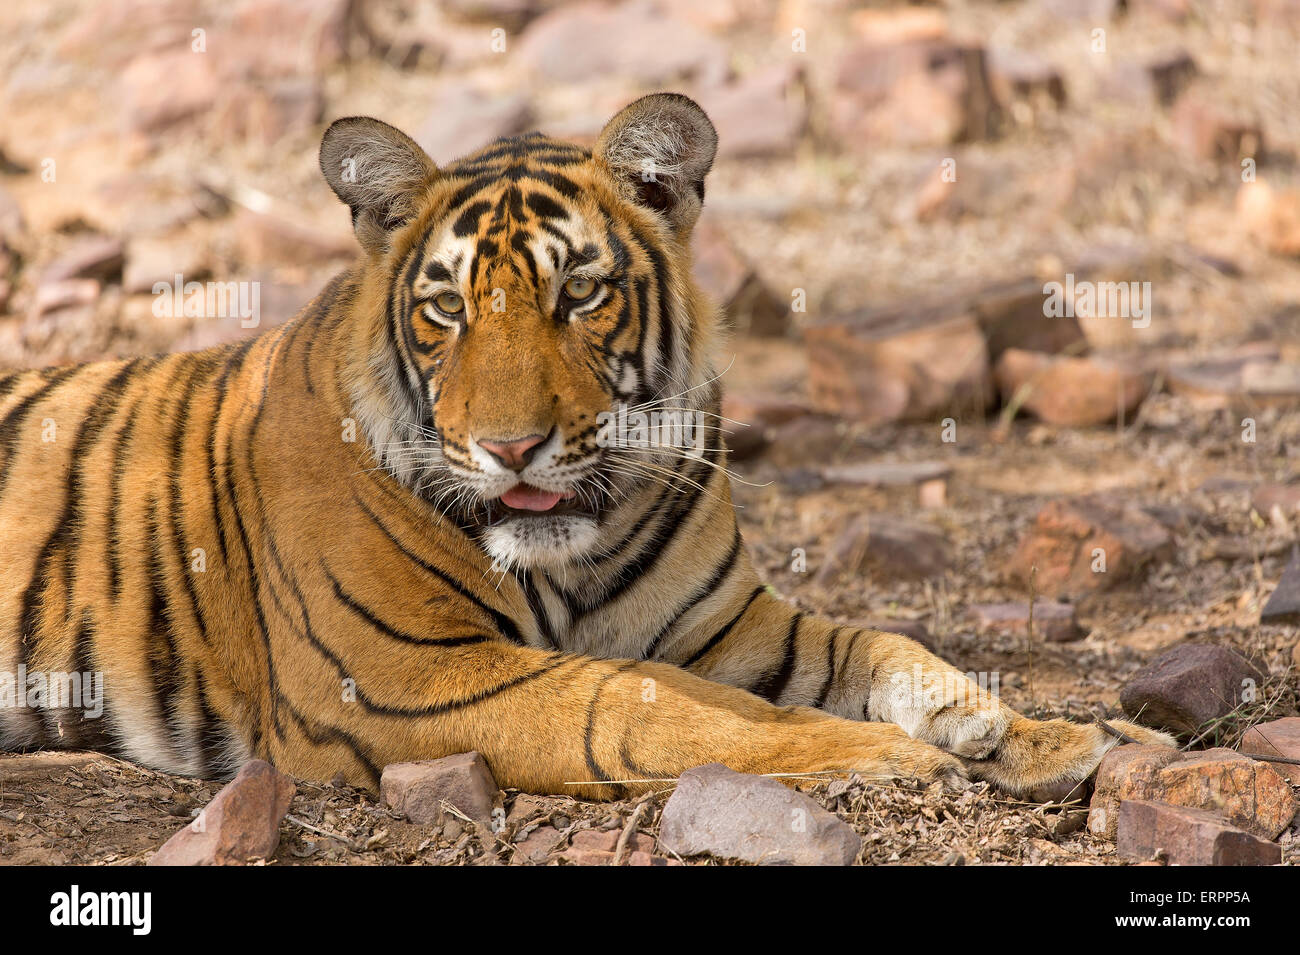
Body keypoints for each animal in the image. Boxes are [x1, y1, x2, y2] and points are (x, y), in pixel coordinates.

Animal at [0, 93, 1180, 805]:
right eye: (447, 308)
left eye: (578, 293)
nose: (510, 446)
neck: (579, 551)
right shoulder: (400, 679)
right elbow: (637, 705)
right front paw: (882, 754)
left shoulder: (730, 626)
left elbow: (882, 648)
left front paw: (1042, 732)